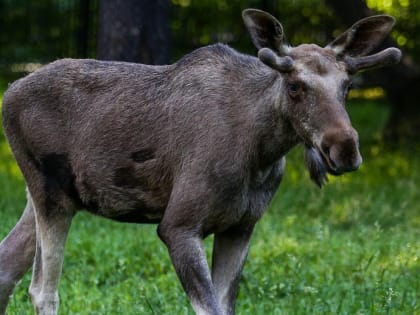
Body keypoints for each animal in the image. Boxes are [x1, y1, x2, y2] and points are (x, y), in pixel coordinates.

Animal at [0, 8, 400, 314]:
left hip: (51, 198)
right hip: (50, 195)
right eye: (294, 86)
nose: (344, 149)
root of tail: (8, 92)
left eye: (348, 86)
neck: (260, 154)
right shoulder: (178, 226)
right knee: (42, 289)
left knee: (7, 265)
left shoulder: (241, 227)